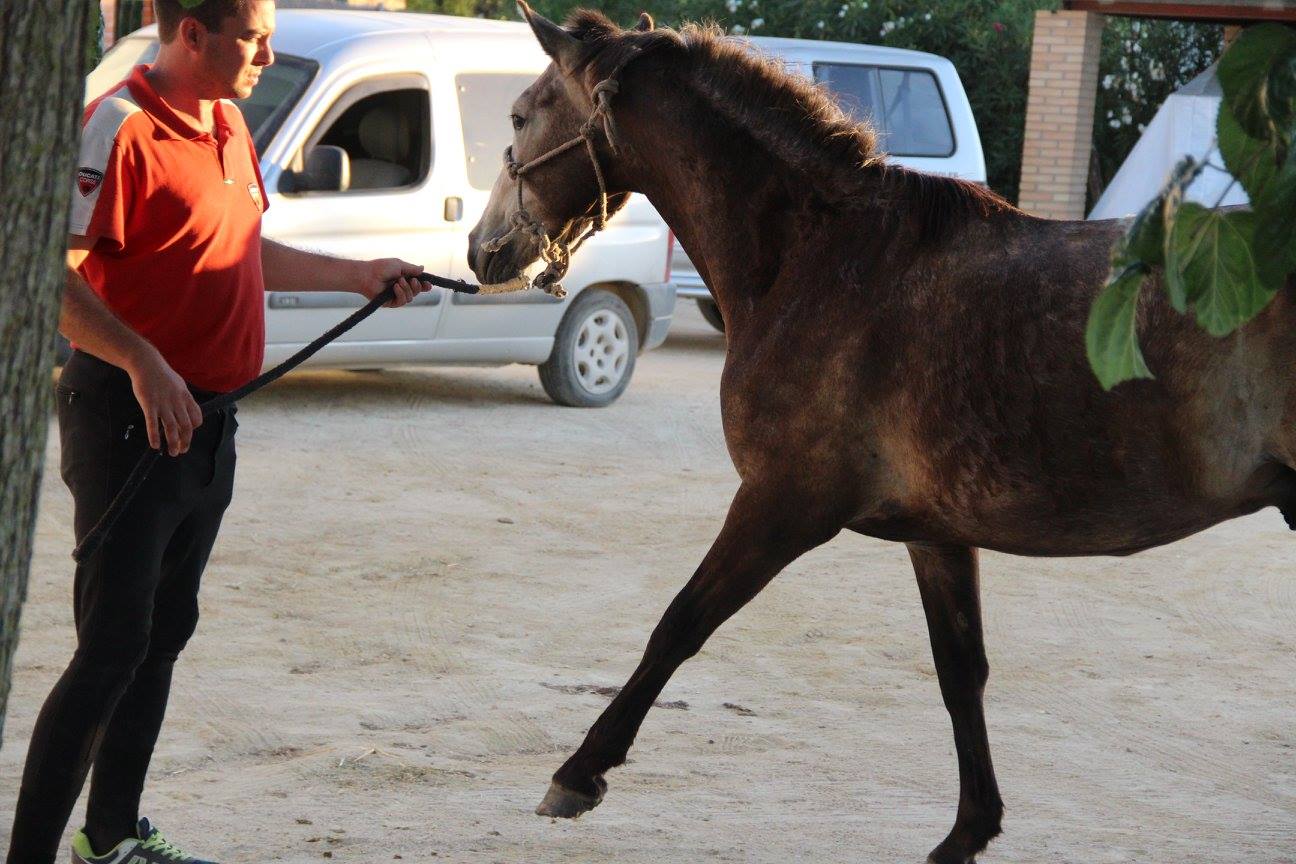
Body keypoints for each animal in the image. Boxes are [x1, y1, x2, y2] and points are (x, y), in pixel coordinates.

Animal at [467, 7, 1296, 862]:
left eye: (520, 115)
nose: (482, 248)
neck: (824, 259)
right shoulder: (937, 533)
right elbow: (960, 673)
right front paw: (968, 831)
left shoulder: (783, 504)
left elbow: (679, 625)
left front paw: (580, 772)